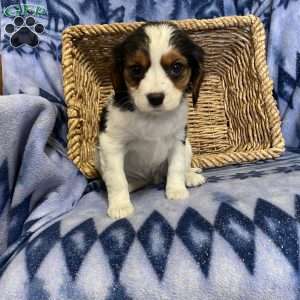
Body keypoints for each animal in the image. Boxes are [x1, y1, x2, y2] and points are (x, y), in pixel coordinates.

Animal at [98, 20, 206, 218]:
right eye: (136, 69)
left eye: (176, 67)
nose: (156, 98)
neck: (153, 117)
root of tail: (151, 178)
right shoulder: (111, 143)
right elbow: (116, 178)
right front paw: (120, 205)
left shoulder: (178, 139)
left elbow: (176, 166)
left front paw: (176, 190)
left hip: (188, 146)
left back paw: (190, 176)